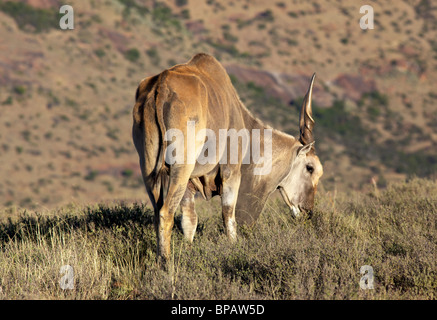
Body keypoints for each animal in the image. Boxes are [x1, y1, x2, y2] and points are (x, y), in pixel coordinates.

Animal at [131, 53, 322, 260]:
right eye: (310, 168)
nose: (308, 211)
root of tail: (161, 87)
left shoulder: (190, 185)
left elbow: (189, 220)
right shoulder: (231, 174)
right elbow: (228, 216)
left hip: (149, 168)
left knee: (158, 212)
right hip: (180, 169)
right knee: (166, 213)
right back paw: (166, 263)